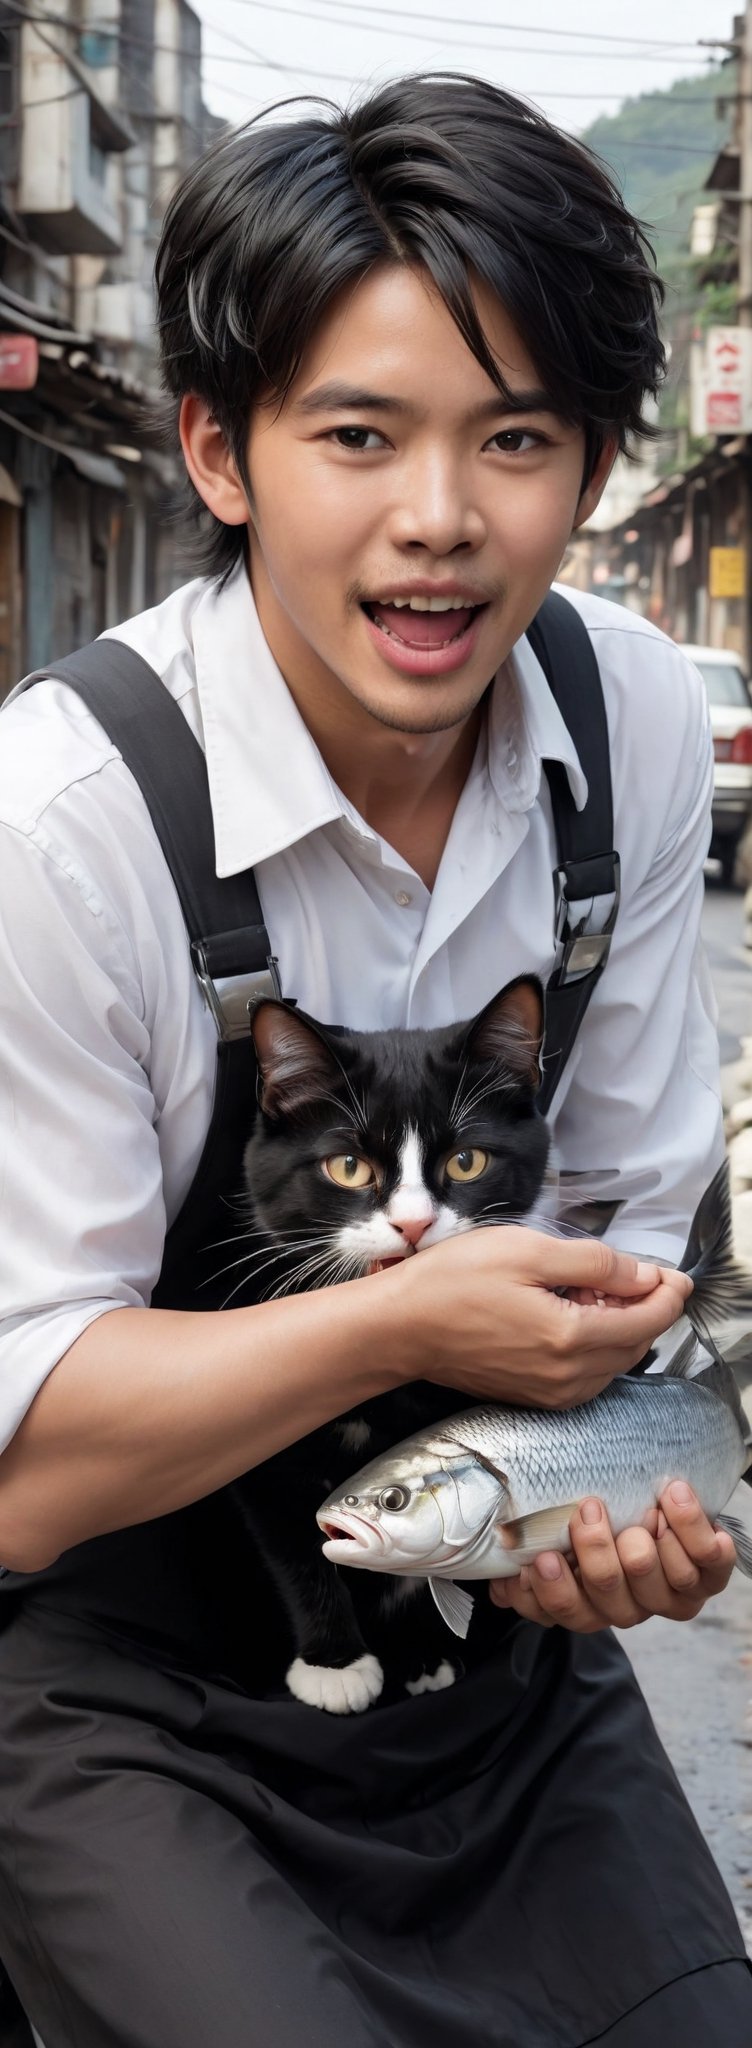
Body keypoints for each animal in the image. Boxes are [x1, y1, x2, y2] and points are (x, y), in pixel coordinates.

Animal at [226, 974, 549, 1712]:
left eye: (467, 1160)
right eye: (348, 1166)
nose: (413, 1224)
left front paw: (422, 1651)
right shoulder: (260, 1432)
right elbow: (296, 1540)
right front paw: (335, 1665)